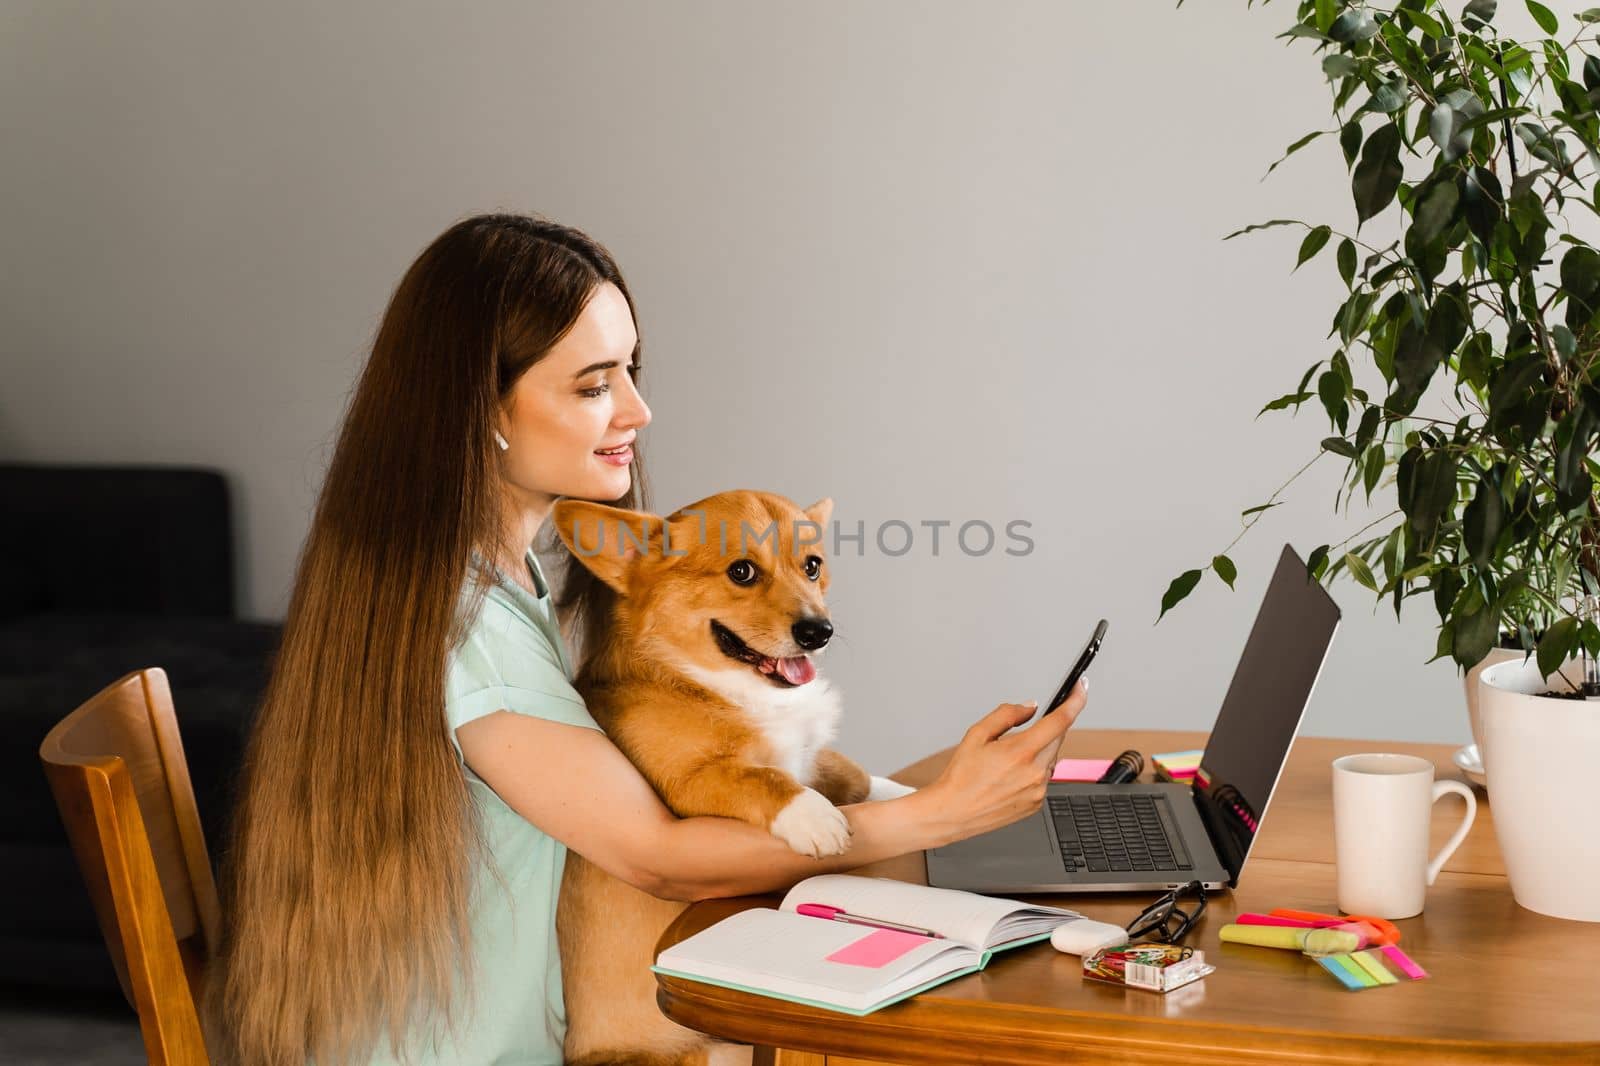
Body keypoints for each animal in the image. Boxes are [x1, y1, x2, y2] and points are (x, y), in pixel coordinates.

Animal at [550, 486, 915, 1062]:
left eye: (812, 566)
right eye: (741, 572)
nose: (819, 632)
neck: (711, 683)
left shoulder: (808, 755)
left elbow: (853, 774)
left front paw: (902, 788)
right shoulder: (686, 783)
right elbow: (756, 778)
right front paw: (815, 818)